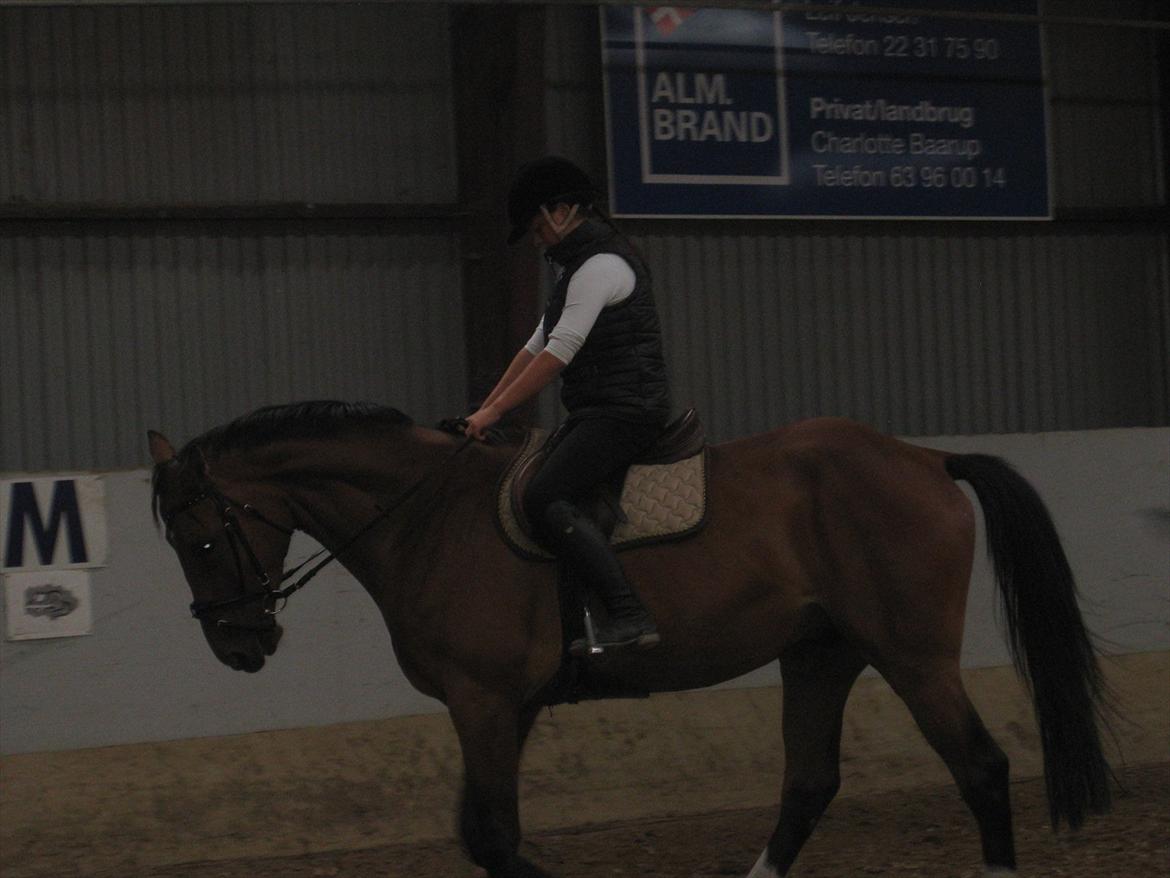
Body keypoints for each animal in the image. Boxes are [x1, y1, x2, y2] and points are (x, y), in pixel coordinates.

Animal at [150, 402, 1109, 875]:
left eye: (201, 541)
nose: (237, 647)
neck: (426, 517)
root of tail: (925, 459)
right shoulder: (505, 707)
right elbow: (482, 835)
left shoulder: (484, 701)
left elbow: (493, 839)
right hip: (821, 652)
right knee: (809, 784)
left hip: (911, 655)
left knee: (980, 769)